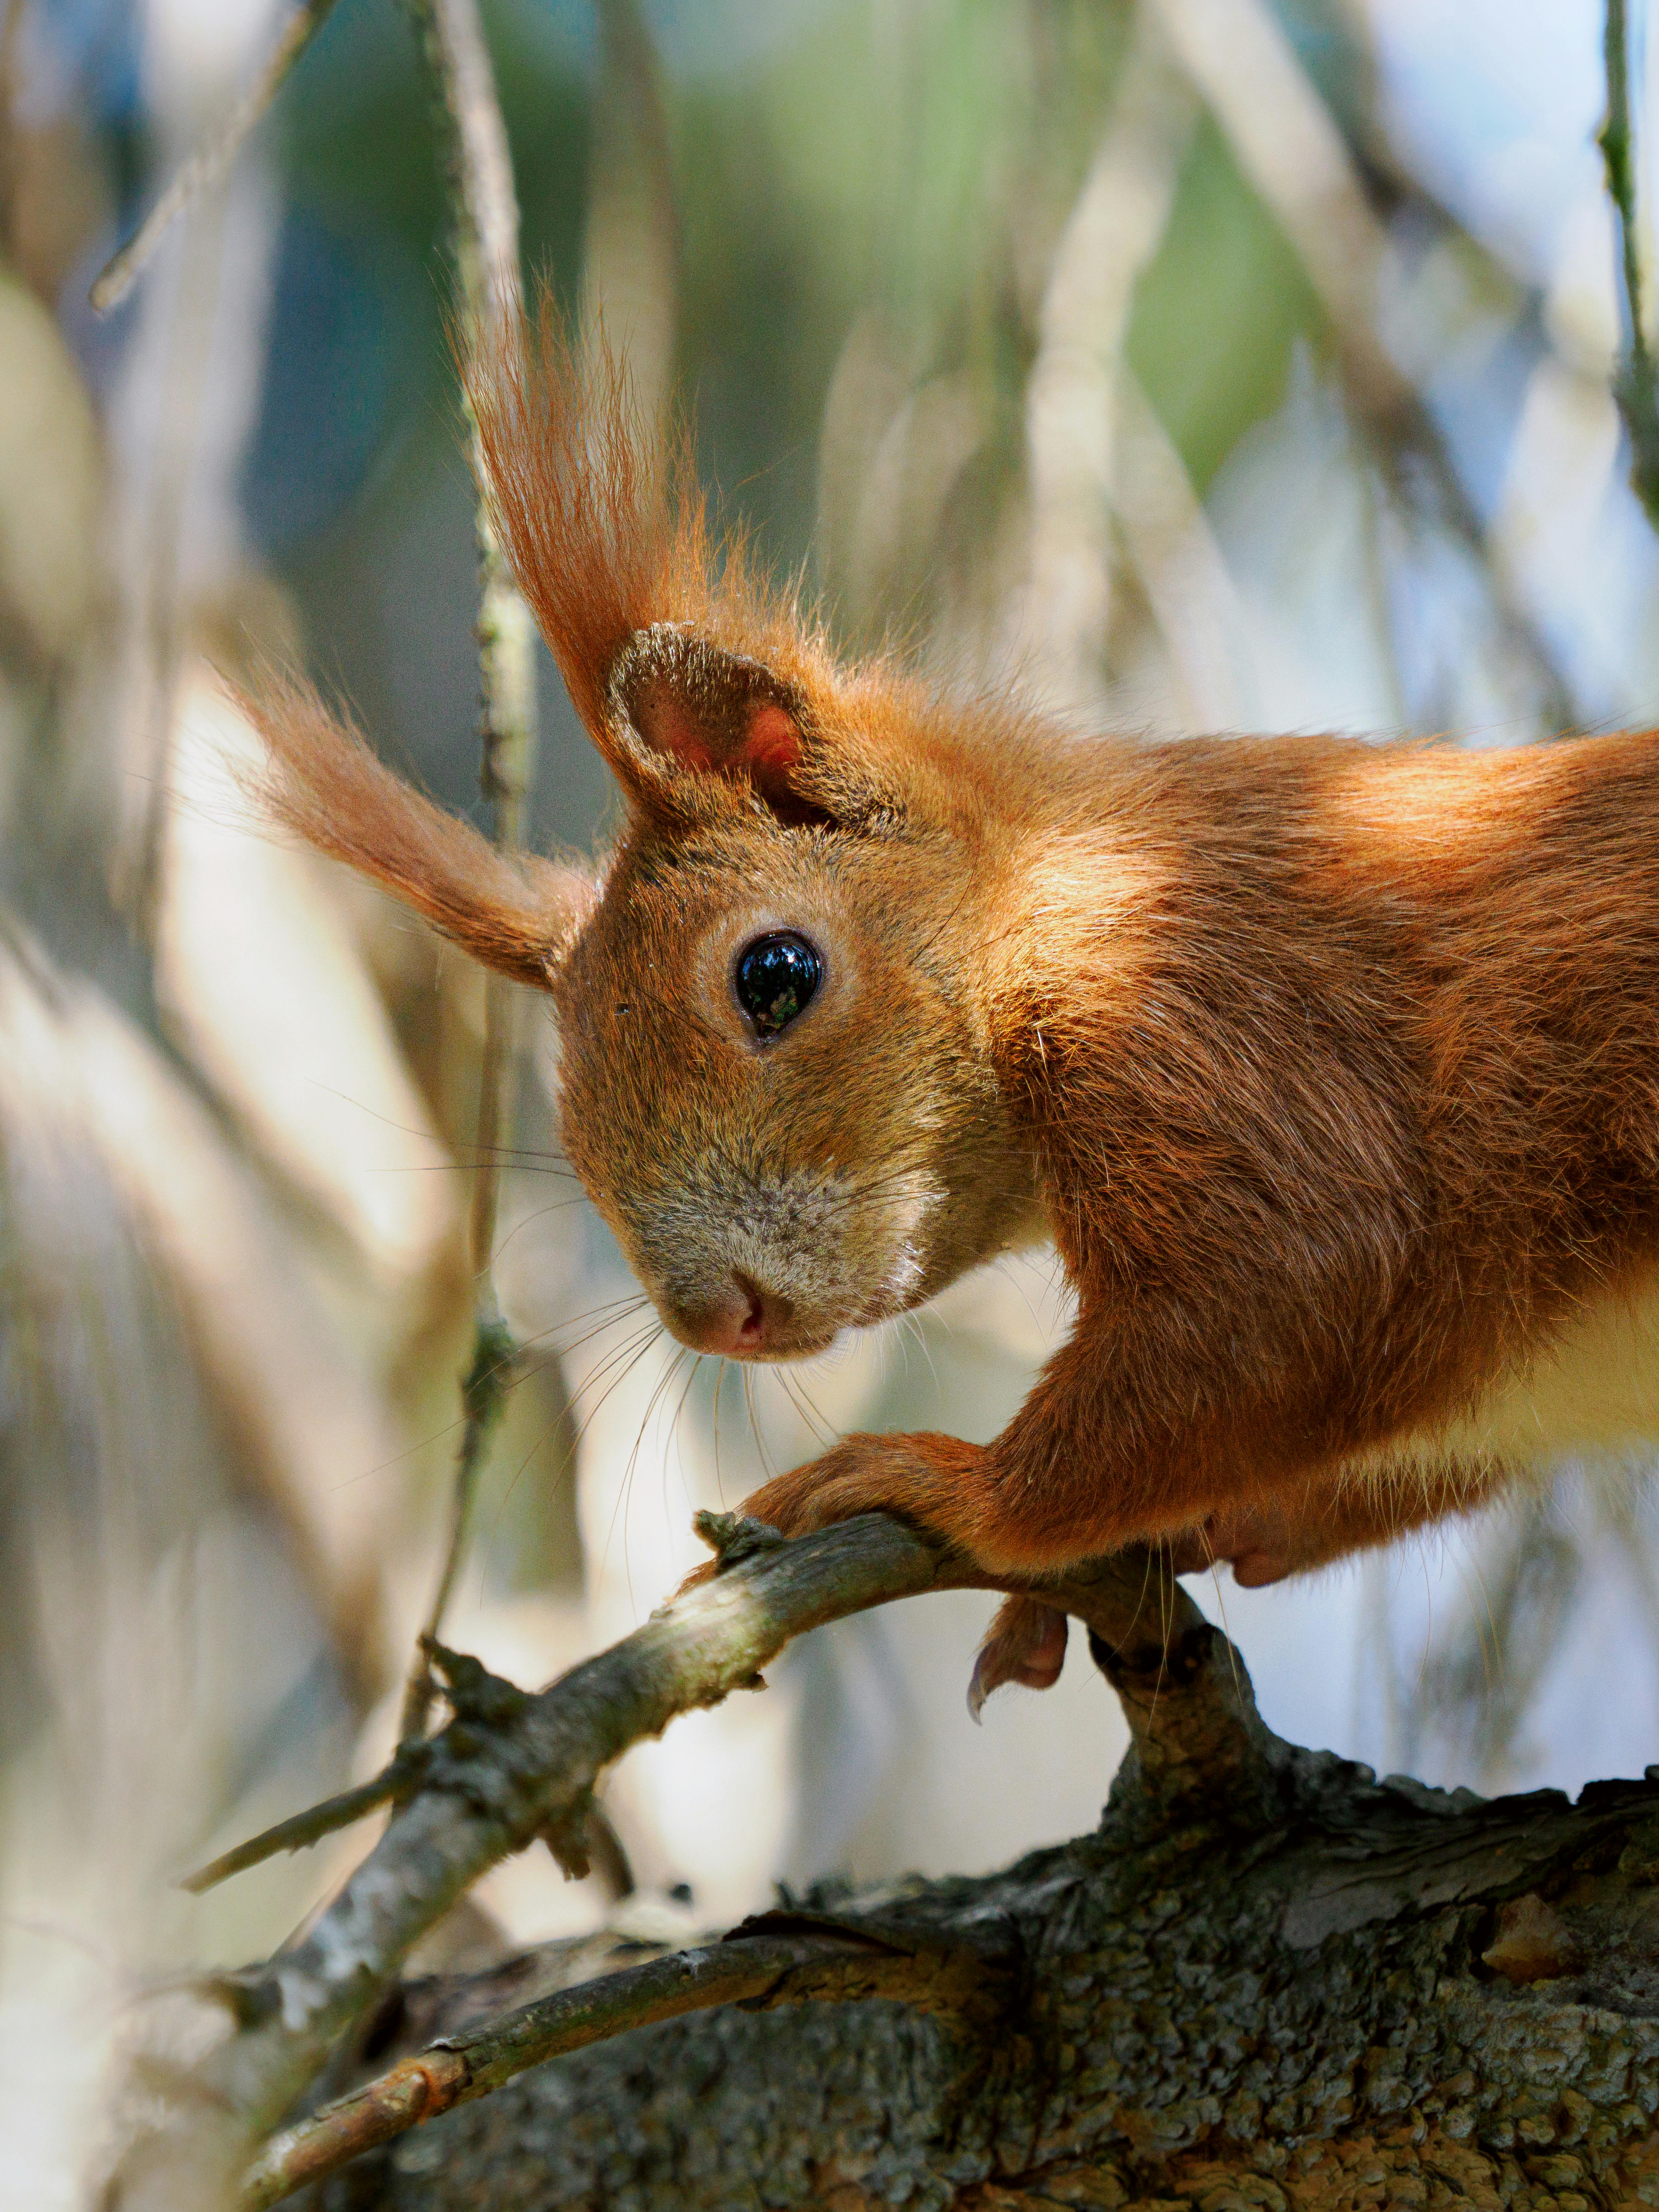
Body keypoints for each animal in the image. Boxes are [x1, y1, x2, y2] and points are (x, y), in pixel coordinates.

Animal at [239, 304, 1659, 1703]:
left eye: (774, 976)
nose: (715, 1319)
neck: (1045, 900)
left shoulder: (1206, 1019)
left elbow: (1301, 1283)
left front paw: (948, 1484)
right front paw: (1184, 1542)